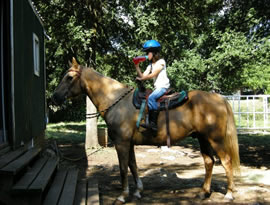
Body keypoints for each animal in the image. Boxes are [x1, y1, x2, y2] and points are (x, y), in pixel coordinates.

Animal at [52, 57, 240, 203]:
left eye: (69, 77)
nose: (54, 97)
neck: (116, 101)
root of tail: (219, 98)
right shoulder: (129, 143)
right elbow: (133, 166)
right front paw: (137, 191)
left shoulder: (121, 143)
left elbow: (123, 169)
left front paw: (122, 196)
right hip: (203, 138)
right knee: (209, 162)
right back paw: (203, 192)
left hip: (216, 139)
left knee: (226, 161)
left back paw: (229, 194)